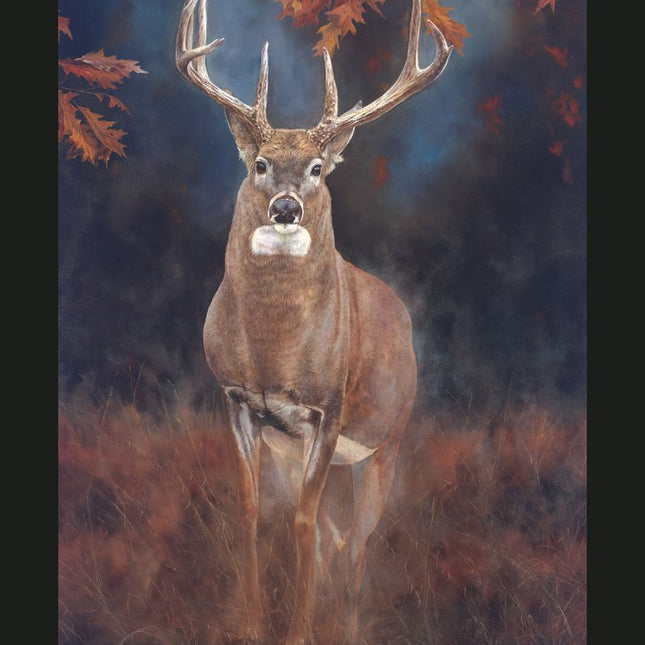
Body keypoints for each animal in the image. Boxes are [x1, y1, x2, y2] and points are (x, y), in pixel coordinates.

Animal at [176, 0, 452, 642]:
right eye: (259, 163)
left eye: (319, 168)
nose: (286, 208)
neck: (272, 351)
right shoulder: (237, 399)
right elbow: (254, 509)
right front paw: (253, 623)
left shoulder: (327, 407)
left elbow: (304, 523)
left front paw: (298, 630)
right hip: (292, 448)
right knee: (335, 536)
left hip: (386, 441)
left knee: (358, 539)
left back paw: (347, 621)